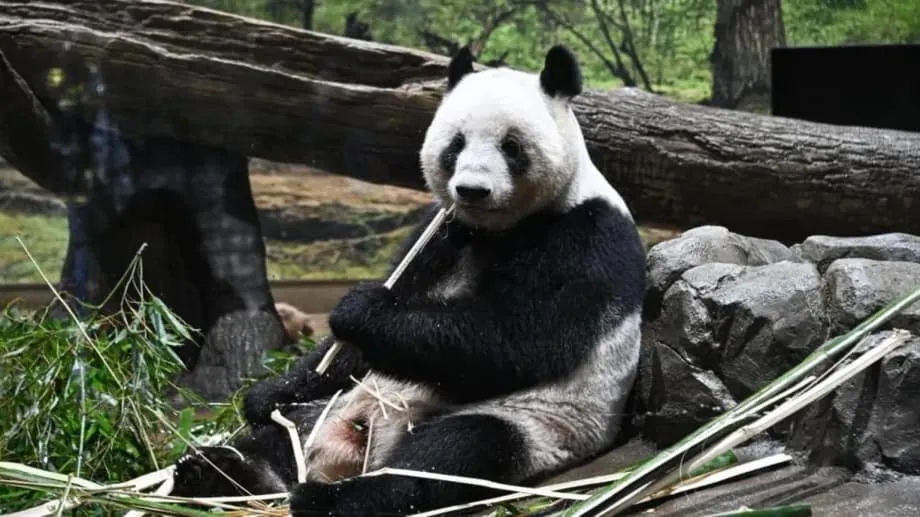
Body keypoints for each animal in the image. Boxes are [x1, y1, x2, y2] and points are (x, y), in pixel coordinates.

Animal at [169, 44, 647, 516]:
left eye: (511, 146)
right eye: (456, 144)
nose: (472, 190)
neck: (497, 230)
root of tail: (356, 449)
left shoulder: (584, 237)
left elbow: (517, 339)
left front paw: (363, 310)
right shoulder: (440, 234)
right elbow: (348, 351)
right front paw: (266, 395)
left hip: (537, 424)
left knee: (452, 453)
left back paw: (335, 498)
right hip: (333, 407)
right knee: (282, 439)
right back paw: (221, 472)